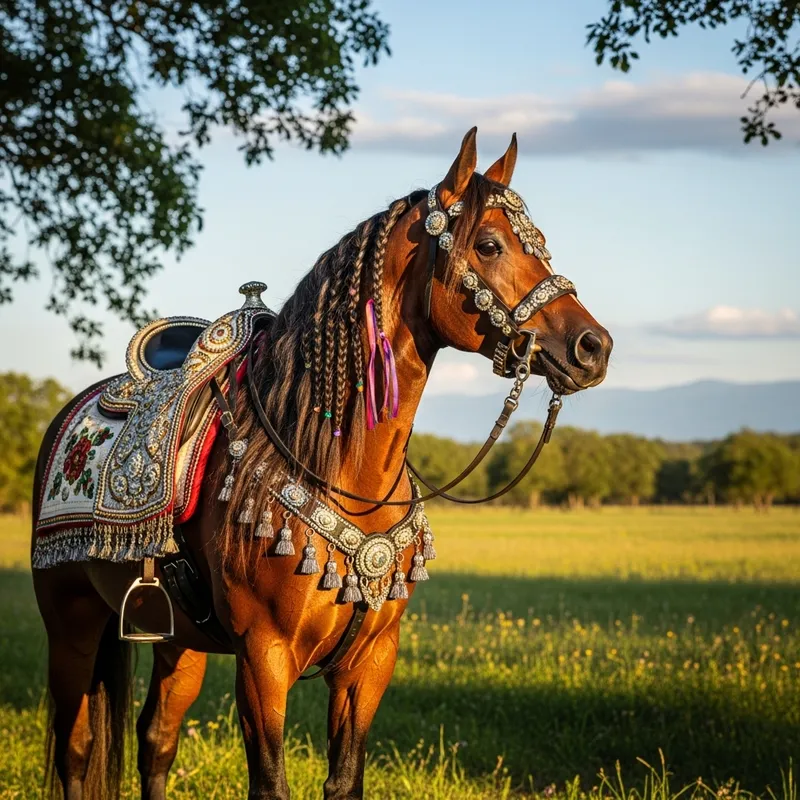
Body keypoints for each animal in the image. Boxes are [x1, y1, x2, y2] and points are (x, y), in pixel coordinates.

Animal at [31, 128, 612, 800]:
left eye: (539, 244)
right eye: (489, 245)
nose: (593, 347)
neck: (336, 468)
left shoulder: (371, 663)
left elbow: (344, 780)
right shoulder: (263, 660)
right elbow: (270, 783)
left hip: (180, 641)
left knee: (157, 738)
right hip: (70, 624)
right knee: (75, 748)